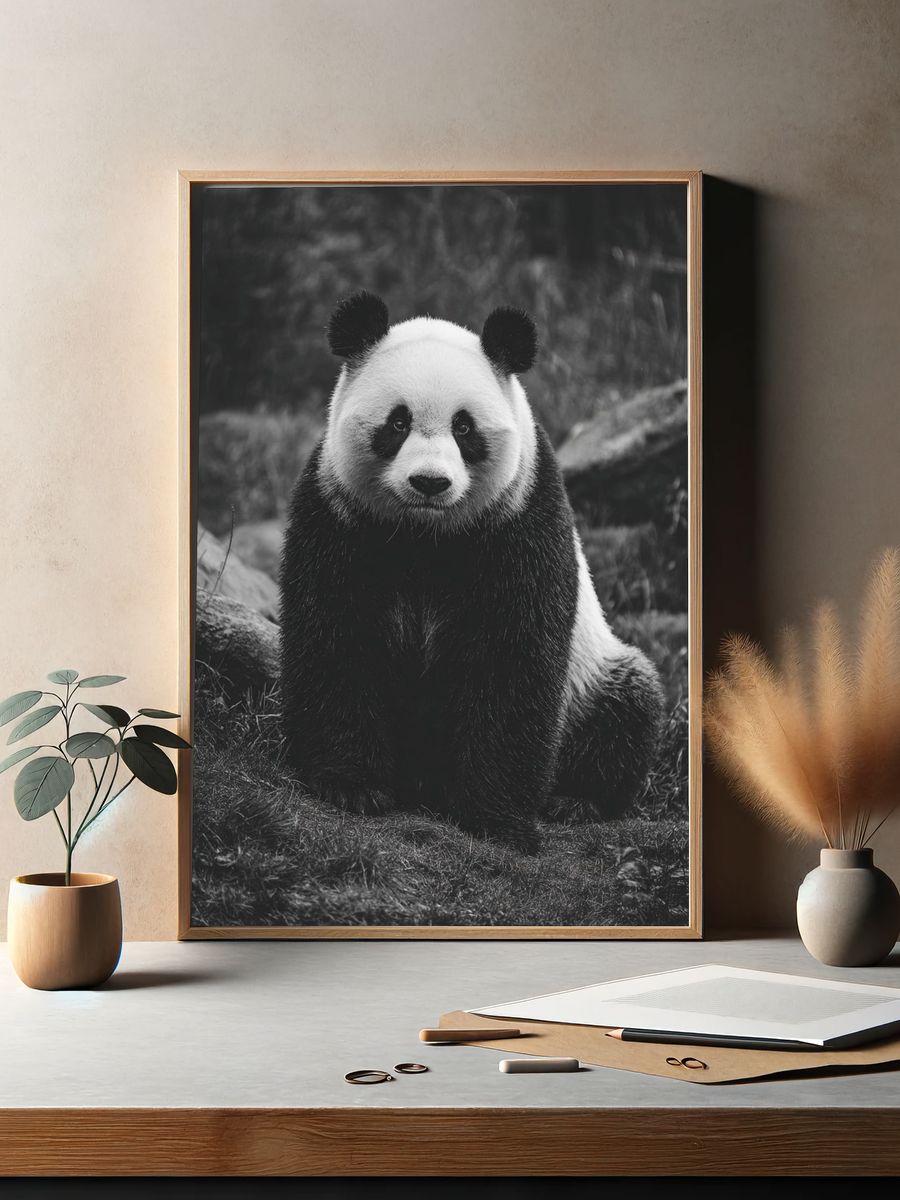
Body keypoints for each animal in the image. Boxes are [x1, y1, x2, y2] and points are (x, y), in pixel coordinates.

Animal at [280, 291, 663, 852]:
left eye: (465, 428)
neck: (423, 536)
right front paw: (353, 787)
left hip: (593, 675)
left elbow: (511, 659)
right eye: (397, 423)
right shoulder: (338, 515)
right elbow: (336, 636)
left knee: (627, 709)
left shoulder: (520, 519)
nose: (429, 482)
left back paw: (577, 800)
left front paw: (494, 819)